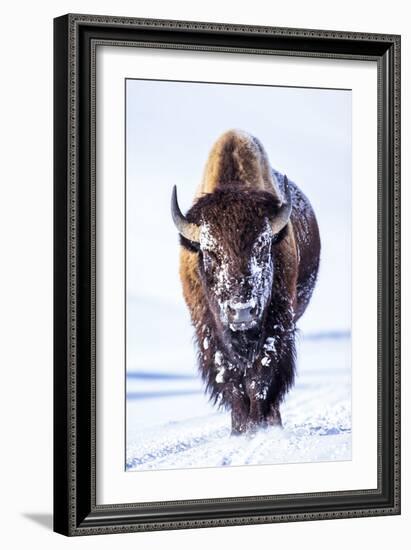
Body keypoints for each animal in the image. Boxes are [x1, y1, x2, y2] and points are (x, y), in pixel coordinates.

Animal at [171, 129, 322, 436]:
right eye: (210, 252)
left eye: (263, 248)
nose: (241, 312)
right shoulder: (208, 330)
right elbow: (230, 379)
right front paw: (241, 430)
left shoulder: (277, 324)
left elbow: (261, 377)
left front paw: (259, 426)